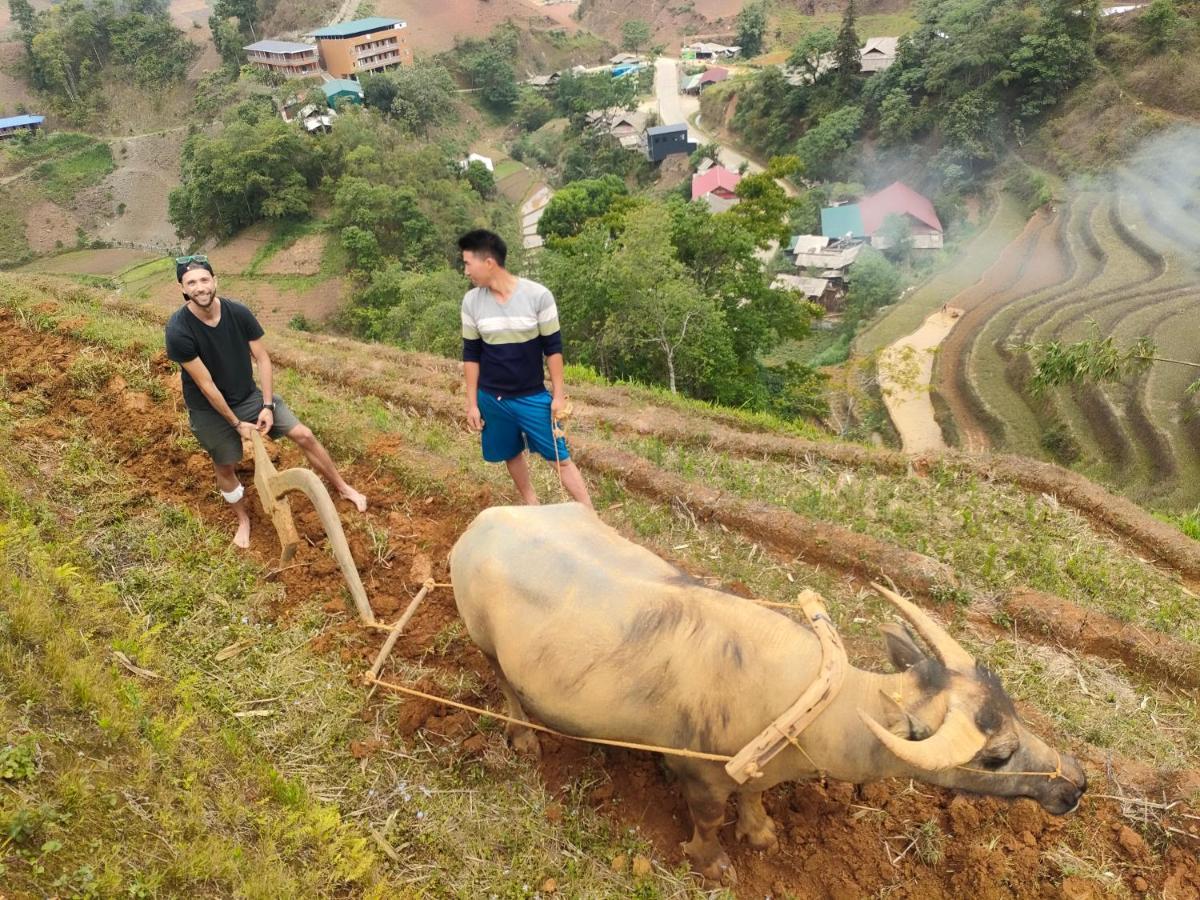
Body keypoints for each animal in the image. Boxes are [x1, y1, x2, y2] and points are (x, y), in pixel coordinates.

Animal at [451, 508, 1089, 888]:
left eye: (1014, 712)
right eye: (995, 756)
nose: (1077, 783)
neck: (813, 707)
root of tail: (483, 520)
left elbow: (753, 798)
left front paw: (760, 832)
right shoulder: (702, 773)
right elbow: (709, 818)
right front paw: (713, 862)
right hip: (486, 645)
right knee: (505, 686)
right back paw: (522, 736)